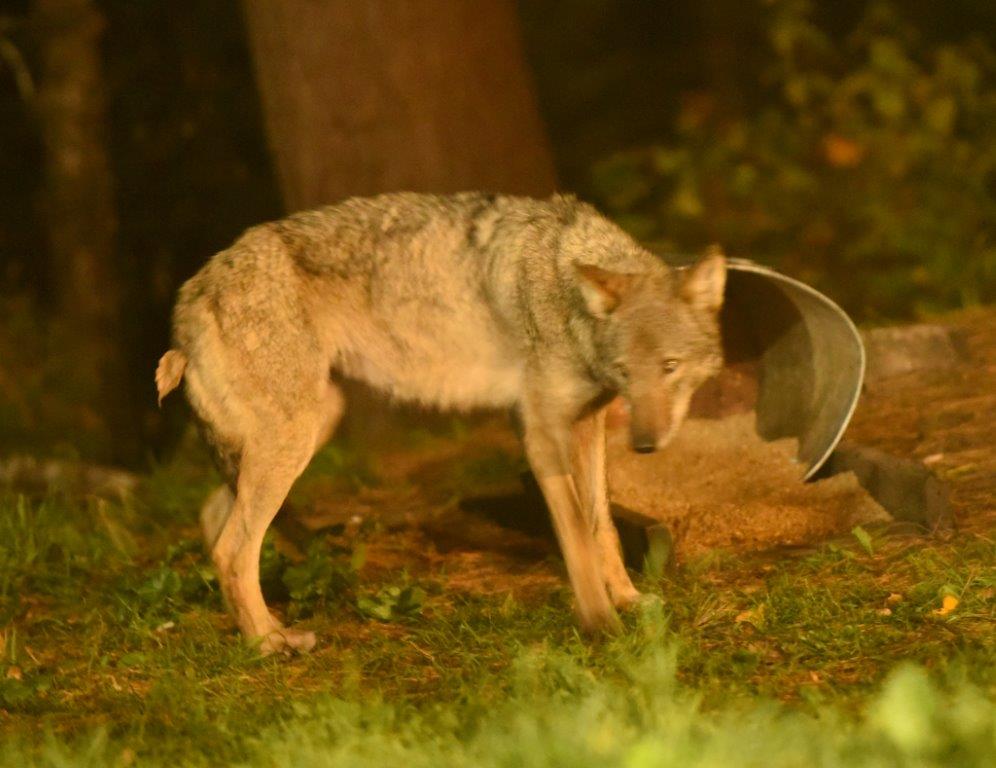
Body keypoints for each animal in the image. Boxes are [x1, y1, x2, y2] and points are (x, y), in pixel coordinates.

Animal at [156, 192, 726, 653]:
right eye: (628, 370)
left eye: (670, 367)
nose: (647, 444)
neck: (564, 288)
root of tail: (191, 293)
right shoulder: (541, 433)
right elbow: (577, 540)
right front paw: (601, 625)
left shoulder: (588, 424)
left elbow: (600, 526)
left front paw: (626, 600)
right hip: (292, 438)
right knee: (232, 548)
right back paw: (269, 643)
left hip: (309, 427)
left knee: (216, 522)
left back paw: (256, 624)